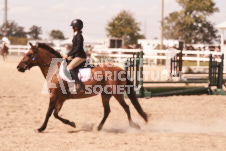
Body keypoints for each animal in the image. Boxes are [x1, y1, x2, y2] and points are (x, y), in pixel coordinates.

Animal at [17, 42, 148, 132]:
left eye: (29, 54)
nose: (19, 67)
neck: (55, 70)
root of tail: (121, 69)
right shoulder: (61, 98)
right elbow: (55, 113)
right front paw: (71, 123)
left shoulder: (54, 96)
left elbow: (49, 113)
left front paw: (41, 128)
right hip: (105, 94)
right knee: (107, 111)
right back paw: (99, 127)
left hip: (117, 93)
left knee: (126, 107)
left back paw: (133, 125)